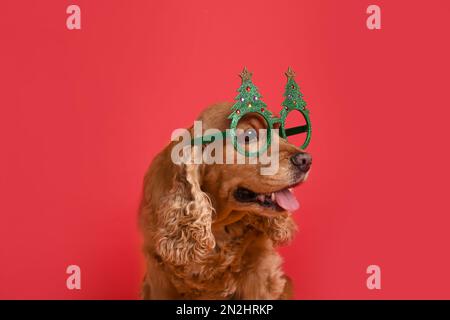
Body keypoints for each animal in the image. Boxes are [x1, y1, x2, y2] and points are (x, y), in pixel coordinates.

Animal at [139, 103, 312, 300]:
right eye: (248, 136)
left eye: (280, 132)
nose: (306, 160)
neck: (219, 226)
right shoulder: (159, 275)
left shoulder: (259, 270)